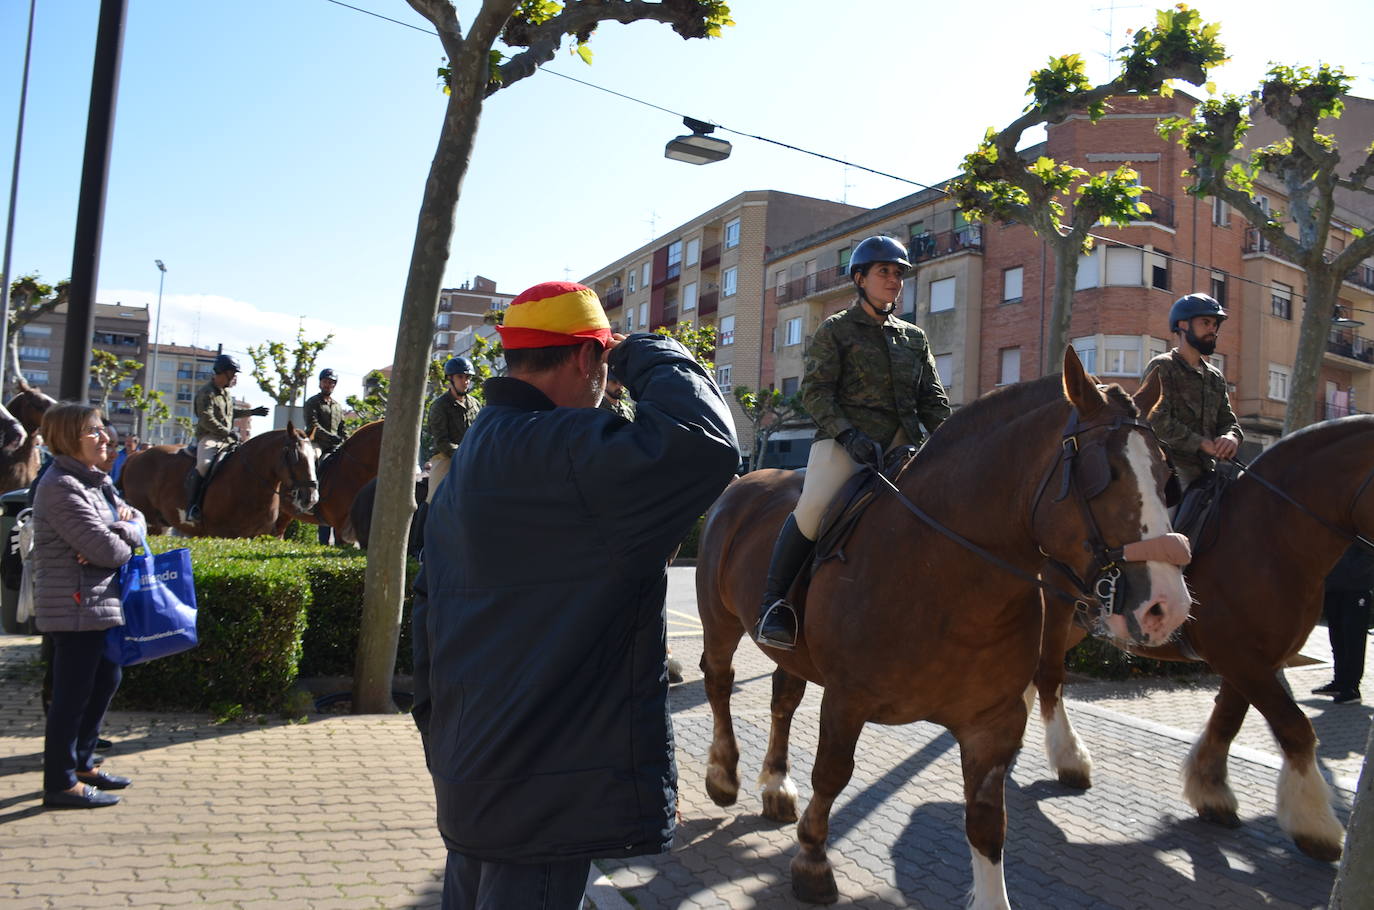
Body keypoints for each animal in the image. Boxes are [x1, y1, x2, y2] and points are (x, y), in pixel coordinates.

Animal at [118, 423, 318, 538]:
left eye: (315, 456)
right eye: (295, 456)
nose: (311, 498)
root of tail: (137, 455)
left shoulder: (258, 536)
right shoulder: (221, 535)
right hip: (150, 522)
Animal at [697, 347, 1192, 907]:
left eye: (1167, 476)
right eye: (1101, 473)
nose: (1166, 606)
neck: (940, 576)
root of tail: (745, 482)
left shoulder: (992, 724)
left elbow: (987, 822)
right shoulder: (847, 700)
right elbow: (832, 774)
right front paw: (812, 861)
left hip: (792, 651)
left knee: (783, 701)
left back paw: (776, 786)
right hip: (720, 621)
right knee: (719, 682)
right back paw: (723, 775)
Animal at [1033, 417, 1374, 868]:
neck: (1270, 538)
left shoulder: (1253, 661)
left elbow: (1227, 721)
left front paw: (1210, 793)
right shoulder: (1240, 658)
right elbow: (1295, 728)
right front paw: (1314, 826)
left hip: (1079, 622)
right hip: (1057, 609)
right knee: (1050, 676)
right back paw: (1069, 759)